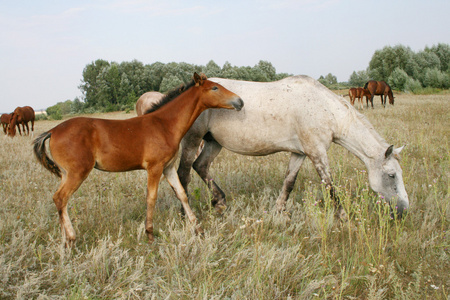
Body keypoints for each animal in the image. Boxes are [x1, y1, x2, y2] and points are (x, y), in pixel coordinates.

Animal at [32, 73, 243, 246]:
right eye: (214, 88)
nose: (240, 101)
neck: (164, 124)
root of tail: (53, 131)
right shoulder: (154, 167)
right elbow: (151, 197)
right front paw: (150, 234)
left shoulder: (168, 167)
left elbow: (182, 194)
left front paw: (198, 229)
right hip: (77, 172)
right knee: (60, 198)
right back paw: (71, 239)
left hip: (66, 173)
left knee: (59, 200)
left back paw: (64, 239)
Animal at [178, 76, 410, 218]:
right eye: (391, 175)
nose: (404, 210)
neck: (324, 108)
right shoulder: (317, 153)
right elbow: (329, 185)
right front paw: (343, 216)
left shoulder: (300, 153)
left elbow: (289, 182)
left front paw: (279, 211)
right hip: (193, 140)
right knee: (183, 174)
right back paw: (185, 213)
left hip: (213, 142)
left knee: (201, 166)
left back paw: (219, 201)